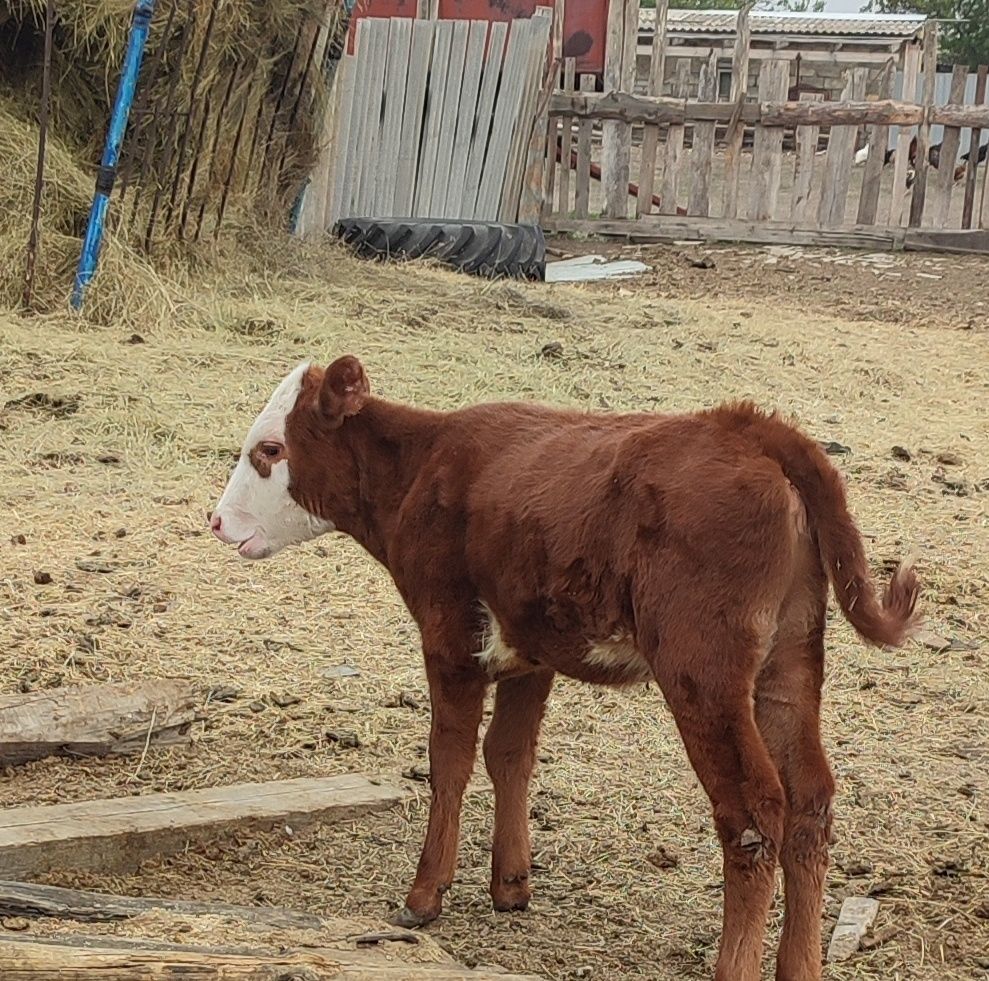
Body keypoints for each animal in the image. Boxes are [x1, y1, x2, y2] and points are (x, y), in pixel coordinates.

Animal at [212, 358, 924, 980]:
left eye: (270, 450)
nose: (217, 521)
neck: (423, 466)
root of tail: (748, 427)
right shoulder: (531, 650)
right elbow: (509, 755)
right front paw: (510, 884)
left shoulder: (449, 638)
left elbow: (450, 760)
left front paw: (425, 895)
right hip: (790, 662)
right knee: (809, 801)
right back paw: (800, 965)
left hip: (704, 672)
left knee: (752, 814)